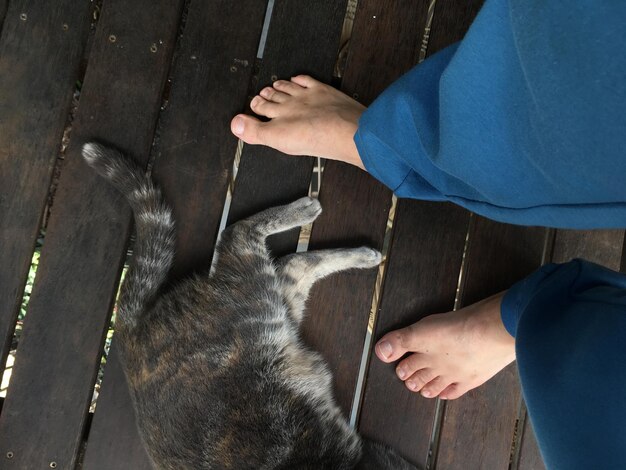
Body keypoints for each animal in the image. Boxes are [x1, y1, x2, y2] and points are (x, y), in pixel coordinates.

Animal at [81, 141, 414, 468]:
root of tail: (130, 332)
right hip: (259, 303)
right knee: (241, 234)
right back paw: (319, 220)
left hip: (274, 303)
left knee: (288, 259)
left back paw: (361, 251)